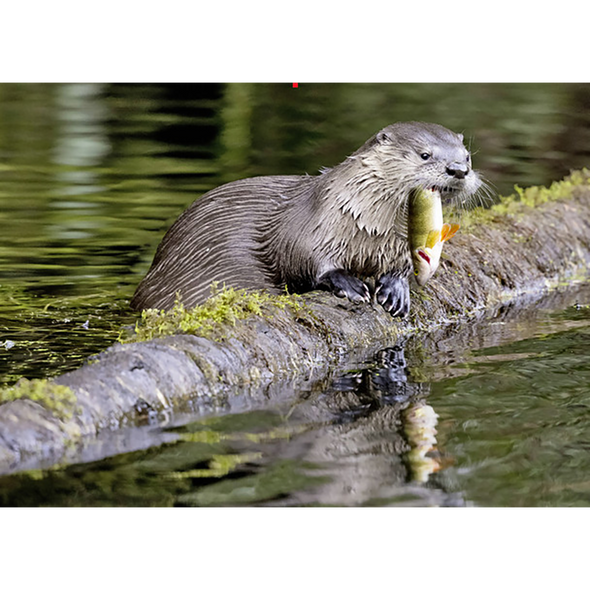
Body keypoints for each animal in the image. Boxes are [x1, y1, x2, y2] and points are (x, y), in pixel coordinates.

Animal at [132, 121, 484, 320]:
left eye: (467, 156)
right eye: (425, 154)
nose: (459, 169)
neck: (368, 229)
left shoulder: (396, 245)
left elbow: (400, 267)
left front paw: (396, 288)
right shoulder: (309, 229)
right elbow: (305, 261)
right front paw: (349, 284)